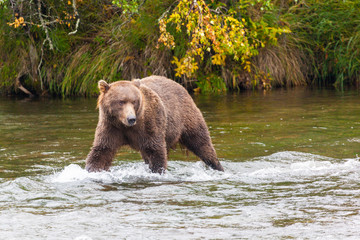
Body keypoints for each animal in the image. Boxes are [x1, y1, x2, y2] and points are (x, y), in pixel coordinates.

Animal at [85, 76, 224, 173]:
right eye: (121, 101)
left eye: (134, 101)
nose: (131, 119)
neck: (124, 126)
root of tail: (181, 86)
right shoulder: (111, 127)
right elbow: (102, 150)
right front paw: (92, 169)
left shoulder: (149, 124)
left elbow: (155, 150)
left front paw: (157, 171)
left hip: (186, 118)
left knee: (201, 142)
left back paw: (218, 166)